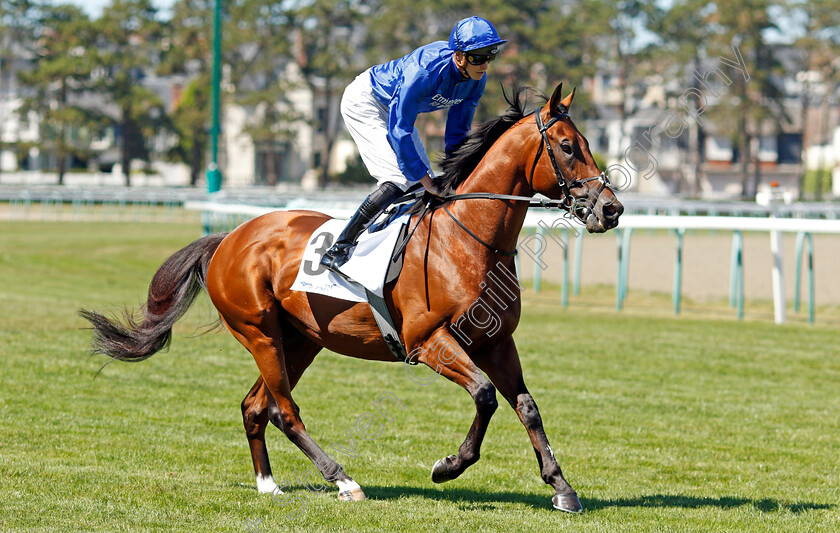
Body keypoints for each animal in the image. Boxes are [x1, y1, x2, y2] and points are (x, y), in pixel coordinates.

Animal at [82, 83, 624, 512]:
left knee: (255, 406)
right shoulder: (428, 341)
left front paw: (562, 488)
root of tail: (229, 238)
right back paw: (344, 480)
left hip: (300, 340)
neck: (466, 240)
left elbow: (526, 406)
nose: (611, 209)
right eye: (568, 146)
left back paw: (268, 484)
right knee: (283, 410)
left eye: (588, 142)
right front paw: (448, 465)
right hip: (259, 332)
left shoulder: (496, 343)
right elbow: (486, 396)